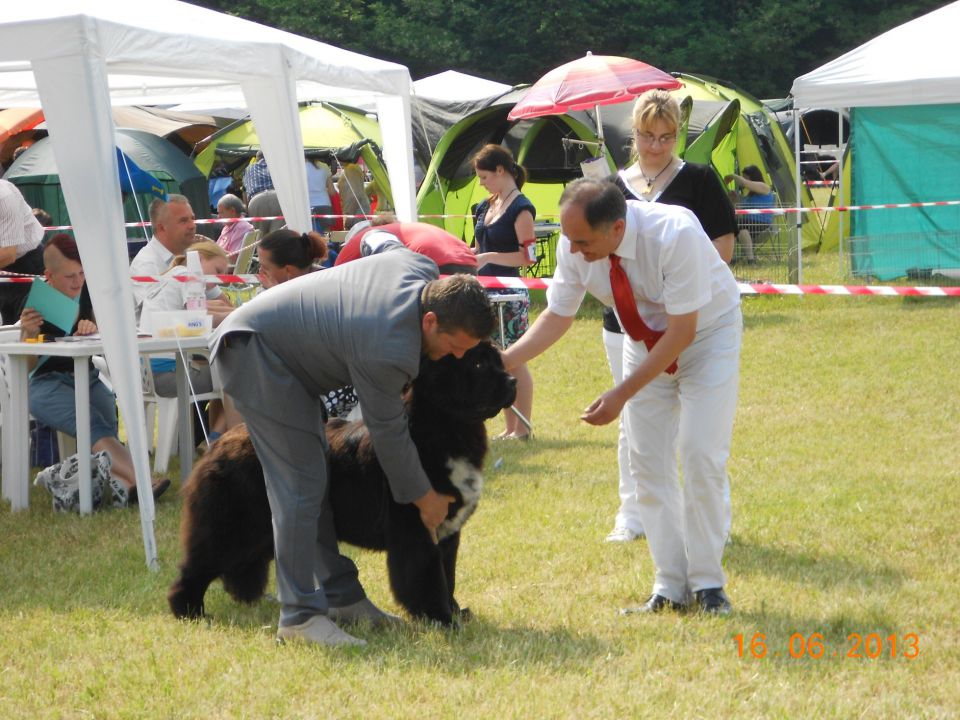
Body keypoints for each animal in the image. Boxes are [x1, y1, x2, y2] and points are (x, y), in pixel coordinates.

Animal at [171, 342, 516, 624]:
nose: (513, 381)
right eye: (477, 364)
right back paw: (188, 611)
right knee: (196, 567)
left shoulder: (448, 533)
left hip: (259, 531)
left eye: (496, 360)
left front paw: (456, 611)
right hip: (231, 528)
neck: (444, 428)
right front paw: (441, 618)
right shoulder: (416, 530)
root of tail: (217, 445)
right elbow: (428, 578)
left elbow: (448, 574)